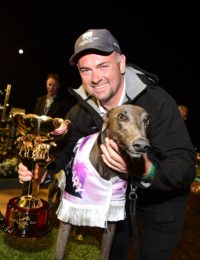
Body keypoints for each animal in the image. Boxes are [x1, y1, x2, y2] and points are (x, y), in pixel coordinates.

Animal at [54, 104, 150, 260]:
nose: (142, 145)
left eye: (146, 120)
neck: (106, 168)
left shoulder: (111, 222)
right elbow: (60, 252)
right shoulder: (67, 212)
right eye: (121, 116)